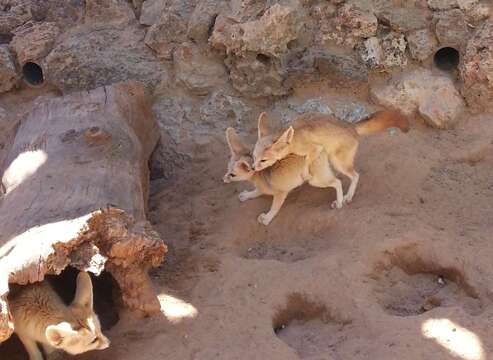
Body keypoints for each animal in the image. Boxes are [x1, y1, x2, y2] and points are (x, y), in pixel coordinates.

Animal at [252, 109, 410, 205]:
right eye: (253, 157)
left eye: (263, 160)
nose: (253, 168)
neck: (294, 138)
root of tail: (351, 126)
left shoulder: (314, 148)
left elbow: (307, 160)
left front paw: (305, 172)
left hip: (337, 161)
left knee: (355, 175)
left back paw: (347, 197)